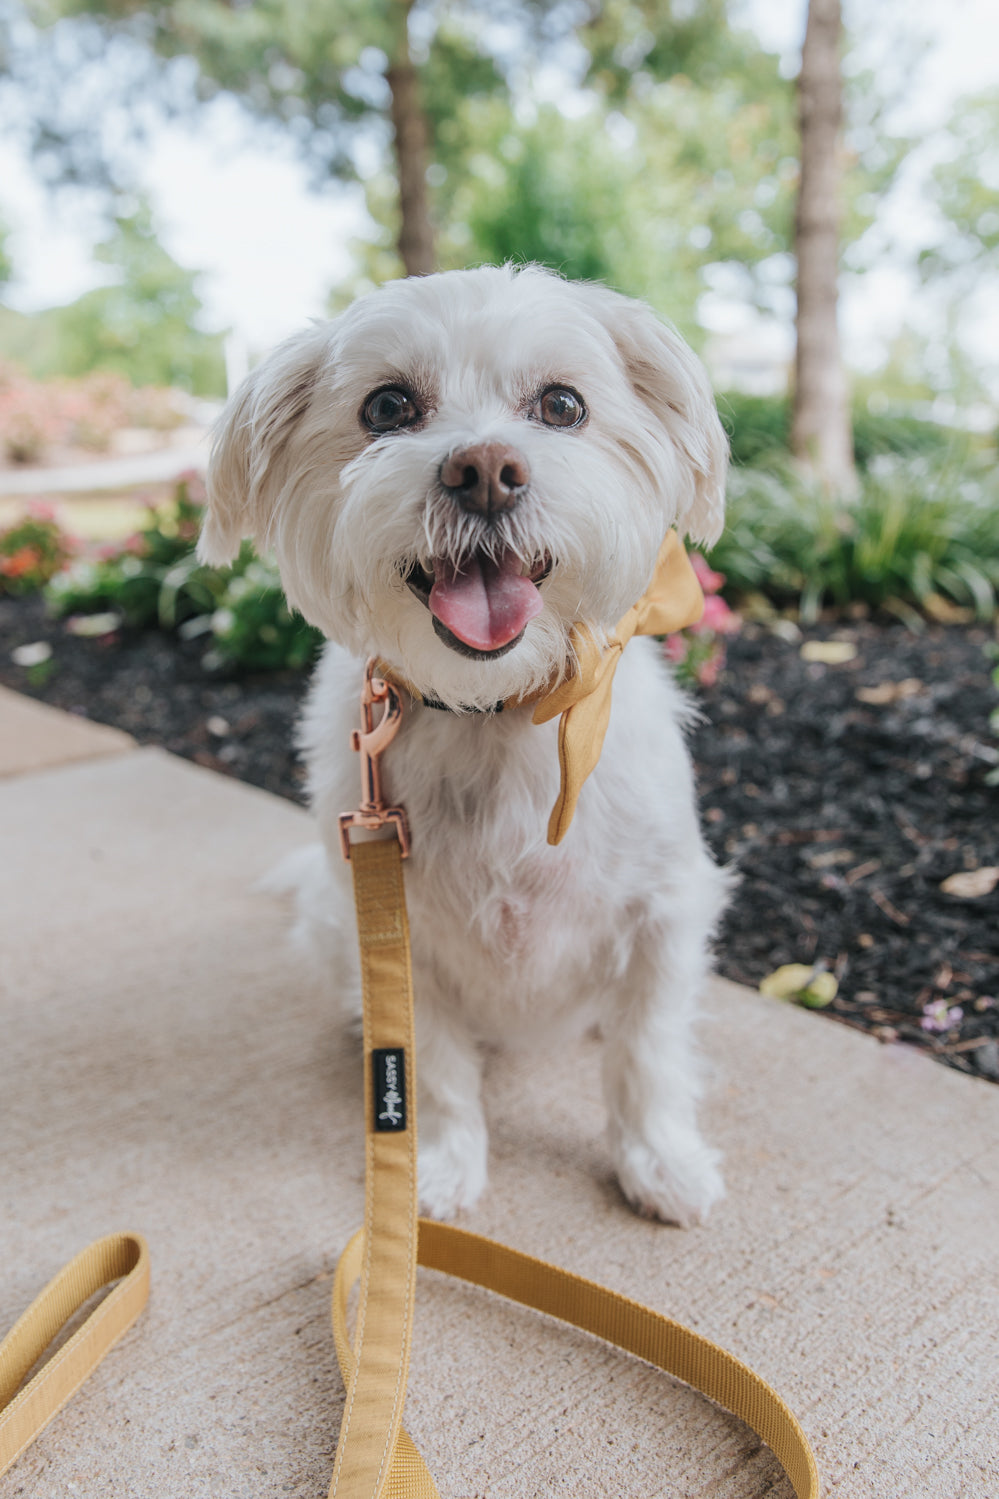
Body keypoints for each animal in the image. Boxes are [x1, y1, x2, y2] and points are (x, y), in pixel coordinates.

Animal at [202, 266, 729, 1229]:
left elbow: (646, 1052)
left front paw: (660, 1160)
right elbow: (434, 1068)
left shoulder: (662, 913)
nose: (484, 470)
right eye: (386, 406)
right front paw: (436, 1170)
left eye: (562, 403)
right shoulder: (399, 937)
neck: (498, 713)